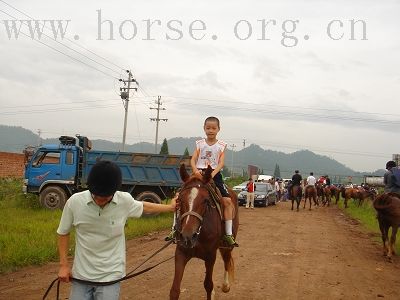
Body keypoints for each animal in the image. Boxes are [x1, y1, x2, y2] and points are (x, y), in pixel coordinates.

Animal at [169, 165, 238, 298]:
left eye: (206, 201)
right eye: (179, 200)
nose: (188, 236)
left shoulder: (210, 256)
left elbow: (208, 285)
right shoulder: (180, 253)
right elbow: (174, 290)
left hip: (227, 245)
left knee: (227, 259)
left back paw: (225, 286)